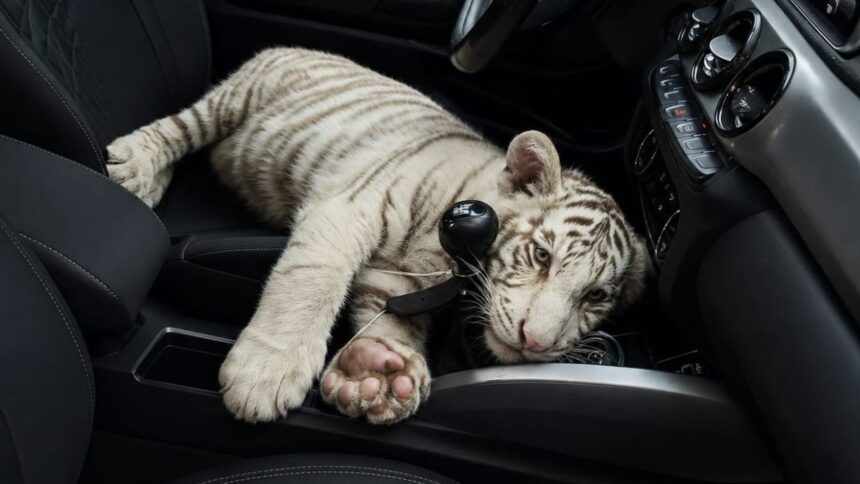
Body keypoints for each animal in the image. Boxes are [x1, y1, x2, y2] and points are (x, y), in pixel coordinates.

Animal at [106, 47, 649, 425]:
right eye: (541, 255)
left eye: (595, 296)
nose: (535, 343)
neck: (448, 258)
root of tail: (303, 46)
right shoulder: (348, 208)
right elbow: (310, 283)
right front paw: (265, 374)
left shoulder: (398, 279)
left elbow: (392, 322)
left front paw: (378, 373)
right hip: (236, 98)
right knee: (180, 127)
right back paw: (133, 167)